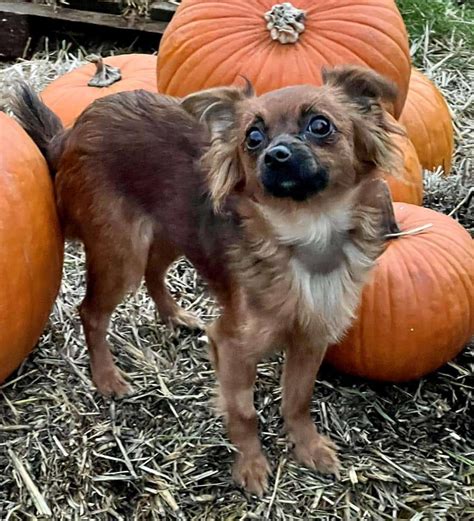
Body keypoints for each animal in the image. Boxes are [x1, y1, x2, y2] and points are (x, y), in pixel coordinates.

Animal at [12, 67, 400, 494]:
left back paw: (176, 317)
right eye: (253, 138)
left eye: (320, 125)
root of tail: (75, 128)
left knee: (153, 272)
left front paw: (308, 447)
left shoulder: (310, 338)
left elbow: (298, 400)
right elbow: (244, 411)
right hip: (122, 252)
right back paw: (107, 378)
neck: (306, 232)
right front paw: (251, 466)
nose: (276, 154)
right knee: (92, 312)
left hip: (170, 230)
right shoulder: (232, 346)